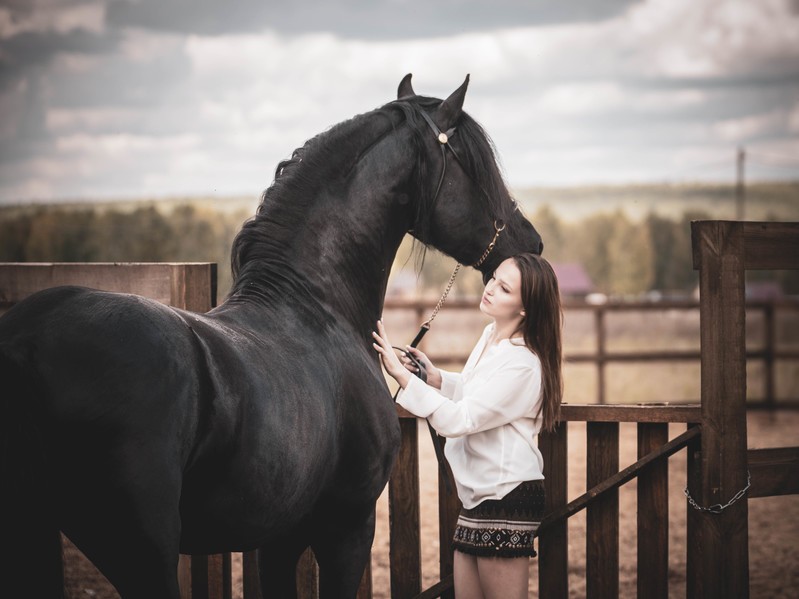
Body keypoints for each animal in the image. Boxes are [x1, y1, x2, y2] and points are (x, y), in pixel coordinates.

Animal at [0, 76, 544, 599]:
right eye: (477, 169)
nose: (530, 242)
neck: (316, 306)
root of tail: (24, 342)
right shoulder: (347, 527)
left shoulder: (277, 538)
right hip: (144, 554)